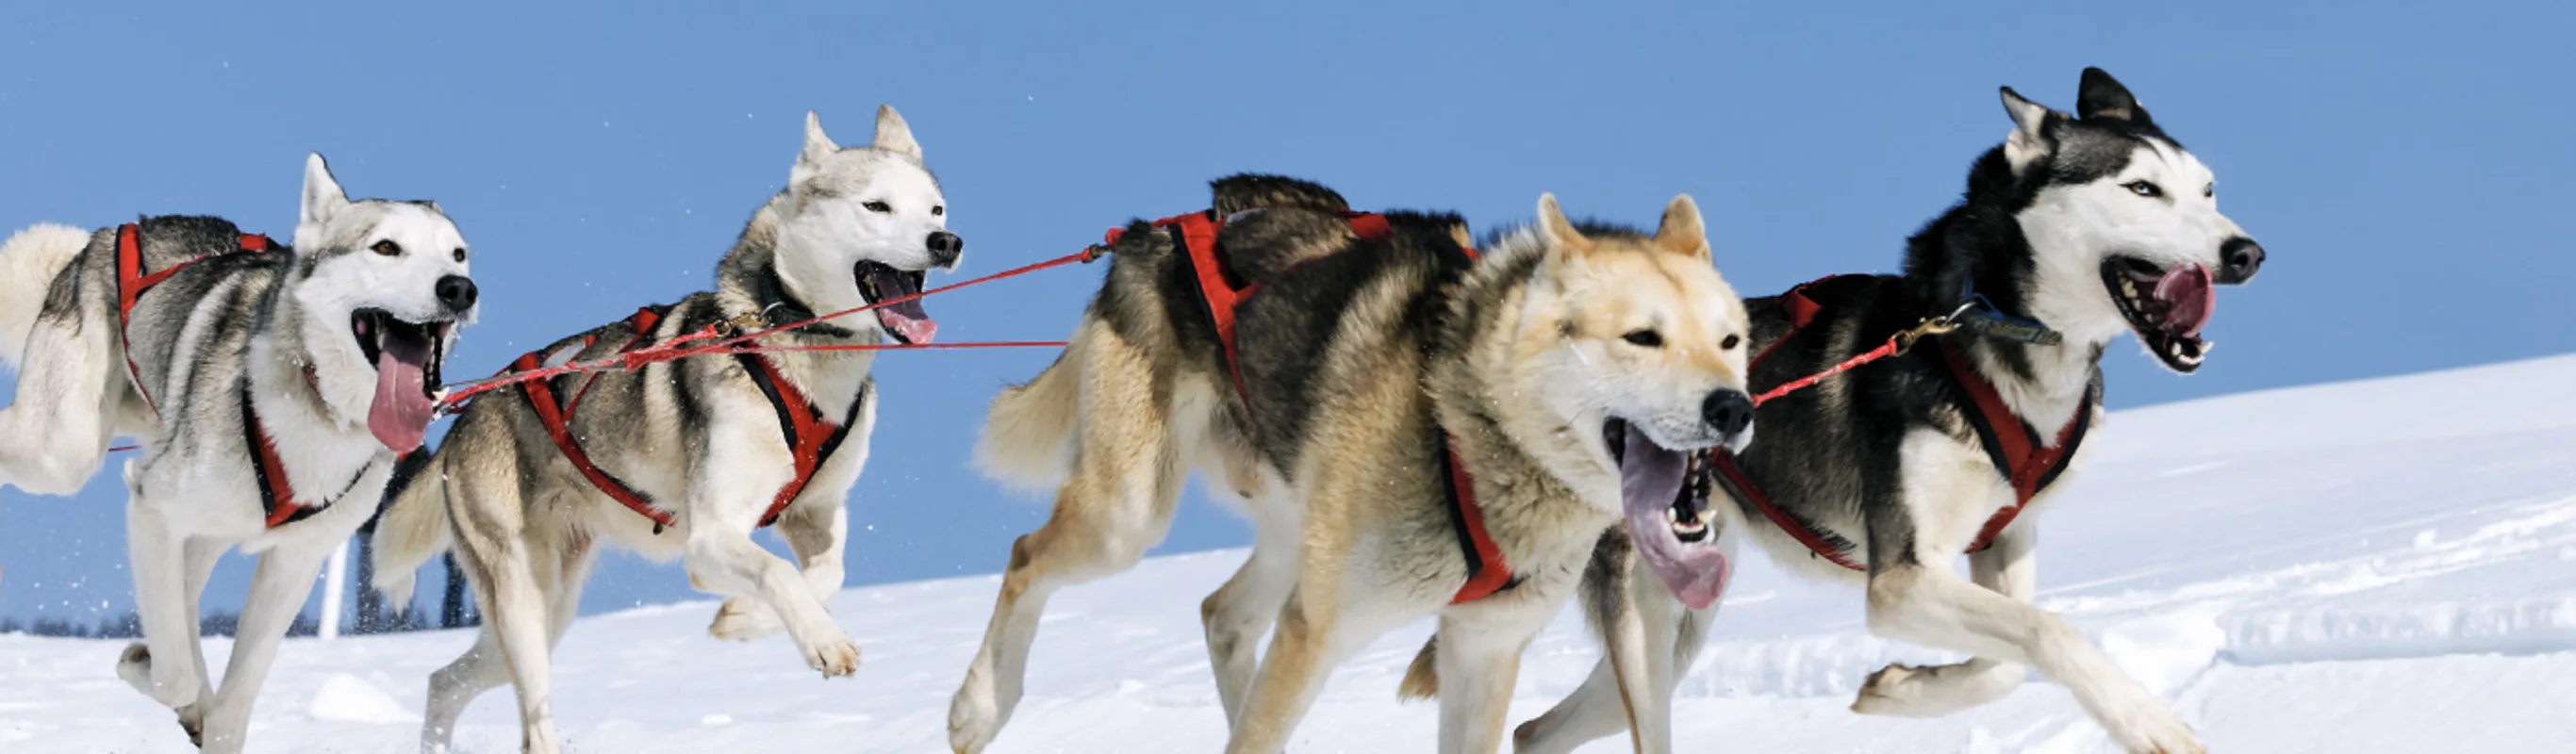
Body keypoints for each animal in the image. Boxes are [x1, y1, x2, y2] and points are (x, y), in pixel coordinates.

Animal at [0, 154, 473, 751]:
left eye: (457, 253)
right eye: (386, 247)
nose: (460, 289)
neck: (319, 405)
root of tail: (115, 233)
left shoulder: (293, 561)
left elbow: (235, 698)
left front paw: (208, 713)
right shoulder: (151, 508)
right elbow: (173, 674)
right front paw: (157, 676)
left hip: (203, 527)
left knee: (184, 597)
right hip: (62, 453)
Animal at [368, 105, 963, 751]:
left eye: (936, 209)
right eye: (876, 206)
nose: (947, 242)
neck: (789, 343)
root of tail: (466, 413)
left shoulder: (813, 510)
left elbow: (828, 572)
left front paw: (745, 619)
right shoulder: (710, 537)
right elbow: (778, 570)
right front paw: (822, 640)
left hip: (546, 612)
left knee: (444, 681)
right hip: (521, 599)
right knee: (531, 723)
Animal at [948, 173, 1751, 746]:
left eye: (1730, 340)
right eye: (1642, 337)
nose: (1735, 409)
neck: (1466, 420)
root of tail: (1150, 235)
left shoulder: (1482, 650)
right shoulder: (1320, 628)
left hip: (1292, 531)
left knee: (1222, 615)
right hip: (1129, 519)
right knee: (1026, 556)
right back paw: (978, 708)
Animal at [1431, 69, 2277, 751]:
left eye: (2208, 190)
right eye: (2141, 190)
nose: (2246, 253)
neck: (1989, 331)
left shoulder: (2000, 544)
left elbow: (2006, 661)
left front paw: (1903, 691)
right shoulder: (1901, 579)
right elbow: (2051, 629)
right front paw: (2151, 722)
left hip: (1677, 625)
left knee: (1537, 730)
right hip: (1647, 624)